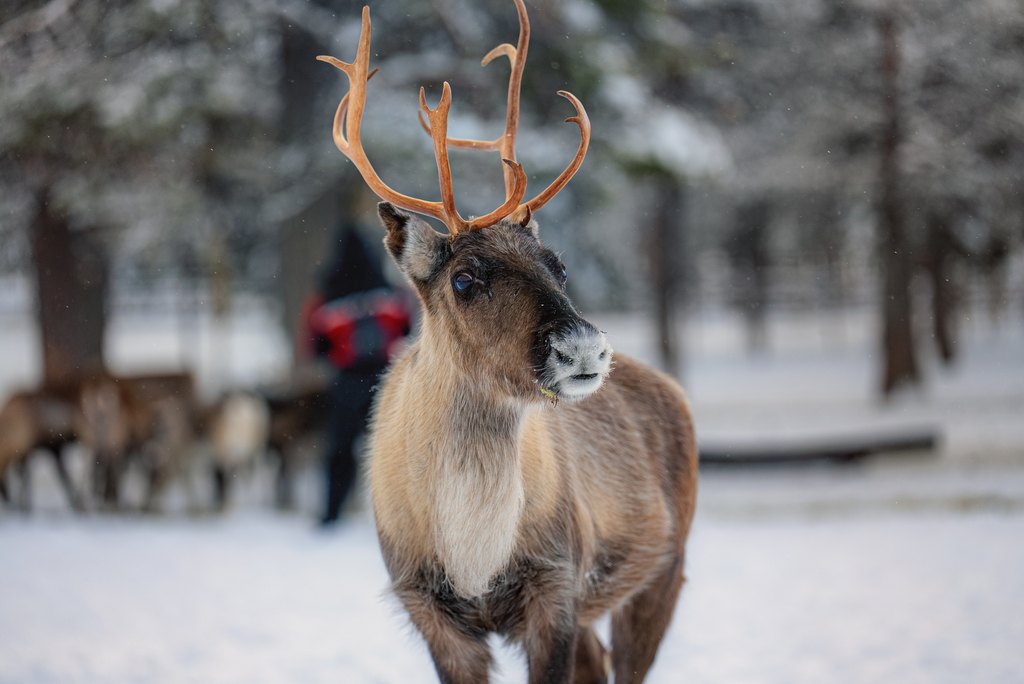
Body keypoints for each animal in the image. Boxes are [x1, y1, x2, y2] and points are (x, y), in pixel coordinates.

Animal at [318, 2, 698, 682]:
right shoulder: (429, 610)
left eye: (559, 265)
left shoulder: (557, 586)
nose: (583, 347)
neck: (474, 555)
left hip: (664, 568)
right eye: (464, 278)